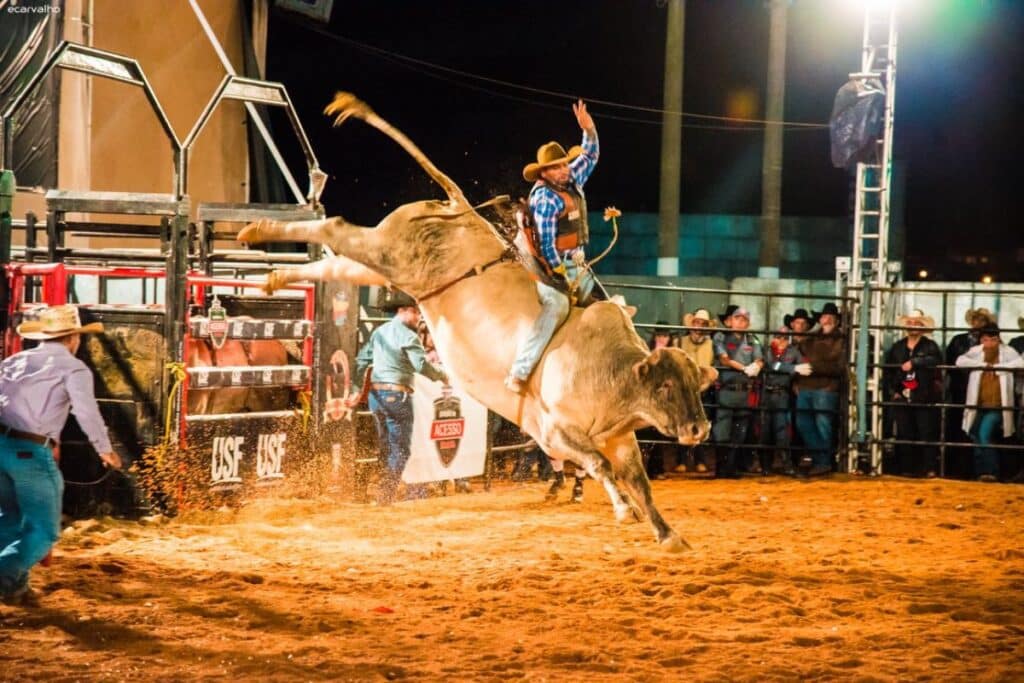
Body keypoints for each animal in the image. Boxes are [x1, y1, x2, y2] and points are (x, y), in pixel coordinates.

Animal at [241, 93, 720, 552]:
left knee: (337, 264)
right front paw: (623, 510)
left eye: (695, 386)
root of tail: (457, 207)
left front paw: (667, 534)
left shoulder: (621, 439)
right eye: (664, 386)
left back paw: (273, 275)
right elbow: (601, 467)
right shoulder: (554, 432)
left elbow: (640, 483)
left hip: (388, 270)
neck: (612, 375)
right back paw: (255, 230)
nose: (699, 428)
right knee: (336, 226)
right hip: (390, 253)